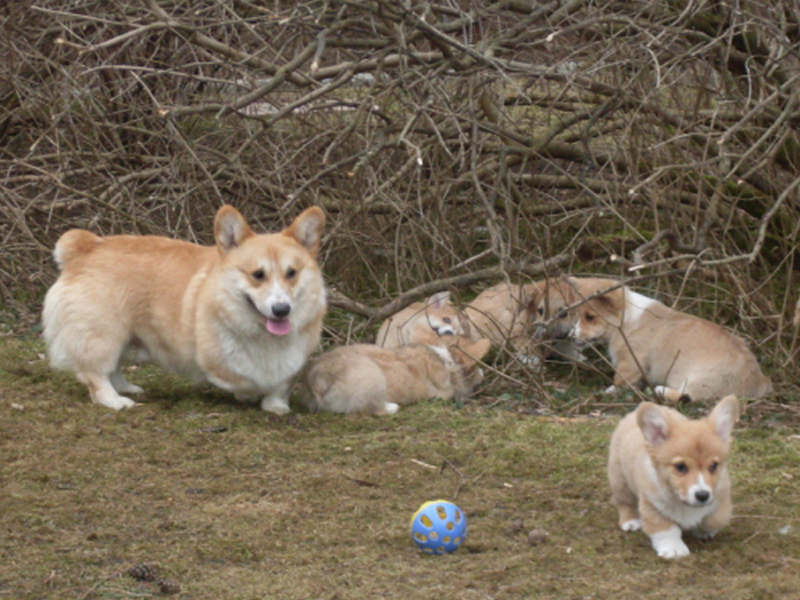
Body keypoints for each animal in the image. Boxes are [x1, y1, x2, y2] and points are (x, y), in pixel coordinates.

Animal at [39, 205, 328, 412]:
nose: (282, 310)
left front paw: (276, 405)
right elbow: (245, 378)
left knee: (114, 367)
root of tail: (85, 247)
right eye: (258, 274)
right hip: (103, 334)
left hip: (121, 334)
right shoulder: (215, 359)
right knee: (96, 373)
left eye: (292, 273)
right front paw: (249, 394)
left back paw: (126, 388)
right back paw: (114, 400)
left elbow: (281, 383)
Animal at [568, 278, 768, 400]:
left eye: (590, 317)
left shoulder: (630, 363)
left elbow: (619, 382)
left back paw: (659, 390)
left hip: (698, 380)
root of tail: (759, 384)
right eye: (577, 315)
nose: (570, 336)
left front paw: (608, 391)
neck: (625, 320)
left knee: (686, 396)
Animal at [608, 396, 740, 560]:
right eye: (681, 467)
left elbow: (714, 519)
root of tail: (631, 414)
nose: (702, 495)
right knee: (624, 502)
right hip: (620, 481)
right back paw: (630, 521)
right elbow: (666, 530)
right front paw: (674, 549)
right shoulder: (652, 505)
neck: (680, 499)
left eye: (714, 465)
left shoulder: (721, 497)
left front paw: (704, 531)